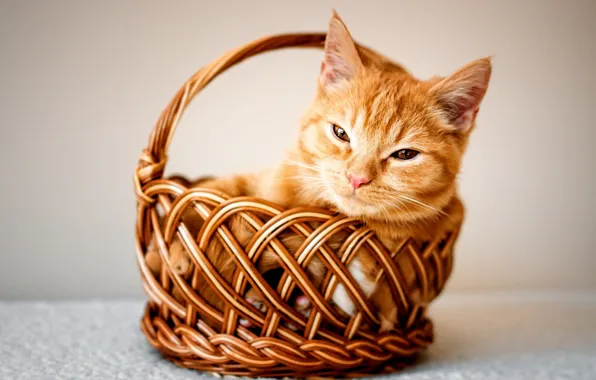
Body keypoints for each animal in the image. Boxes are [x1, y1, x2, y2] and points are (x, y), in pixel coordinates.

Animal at [147, 11, 492, 332]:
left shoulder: (440, 220)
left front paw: (359, 283)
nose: (357, 178)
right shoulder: (262, 181)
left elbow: (393, 264)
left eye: (405, 155)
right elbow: (211, 193)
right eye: (341, 133)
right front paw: (165, 250)